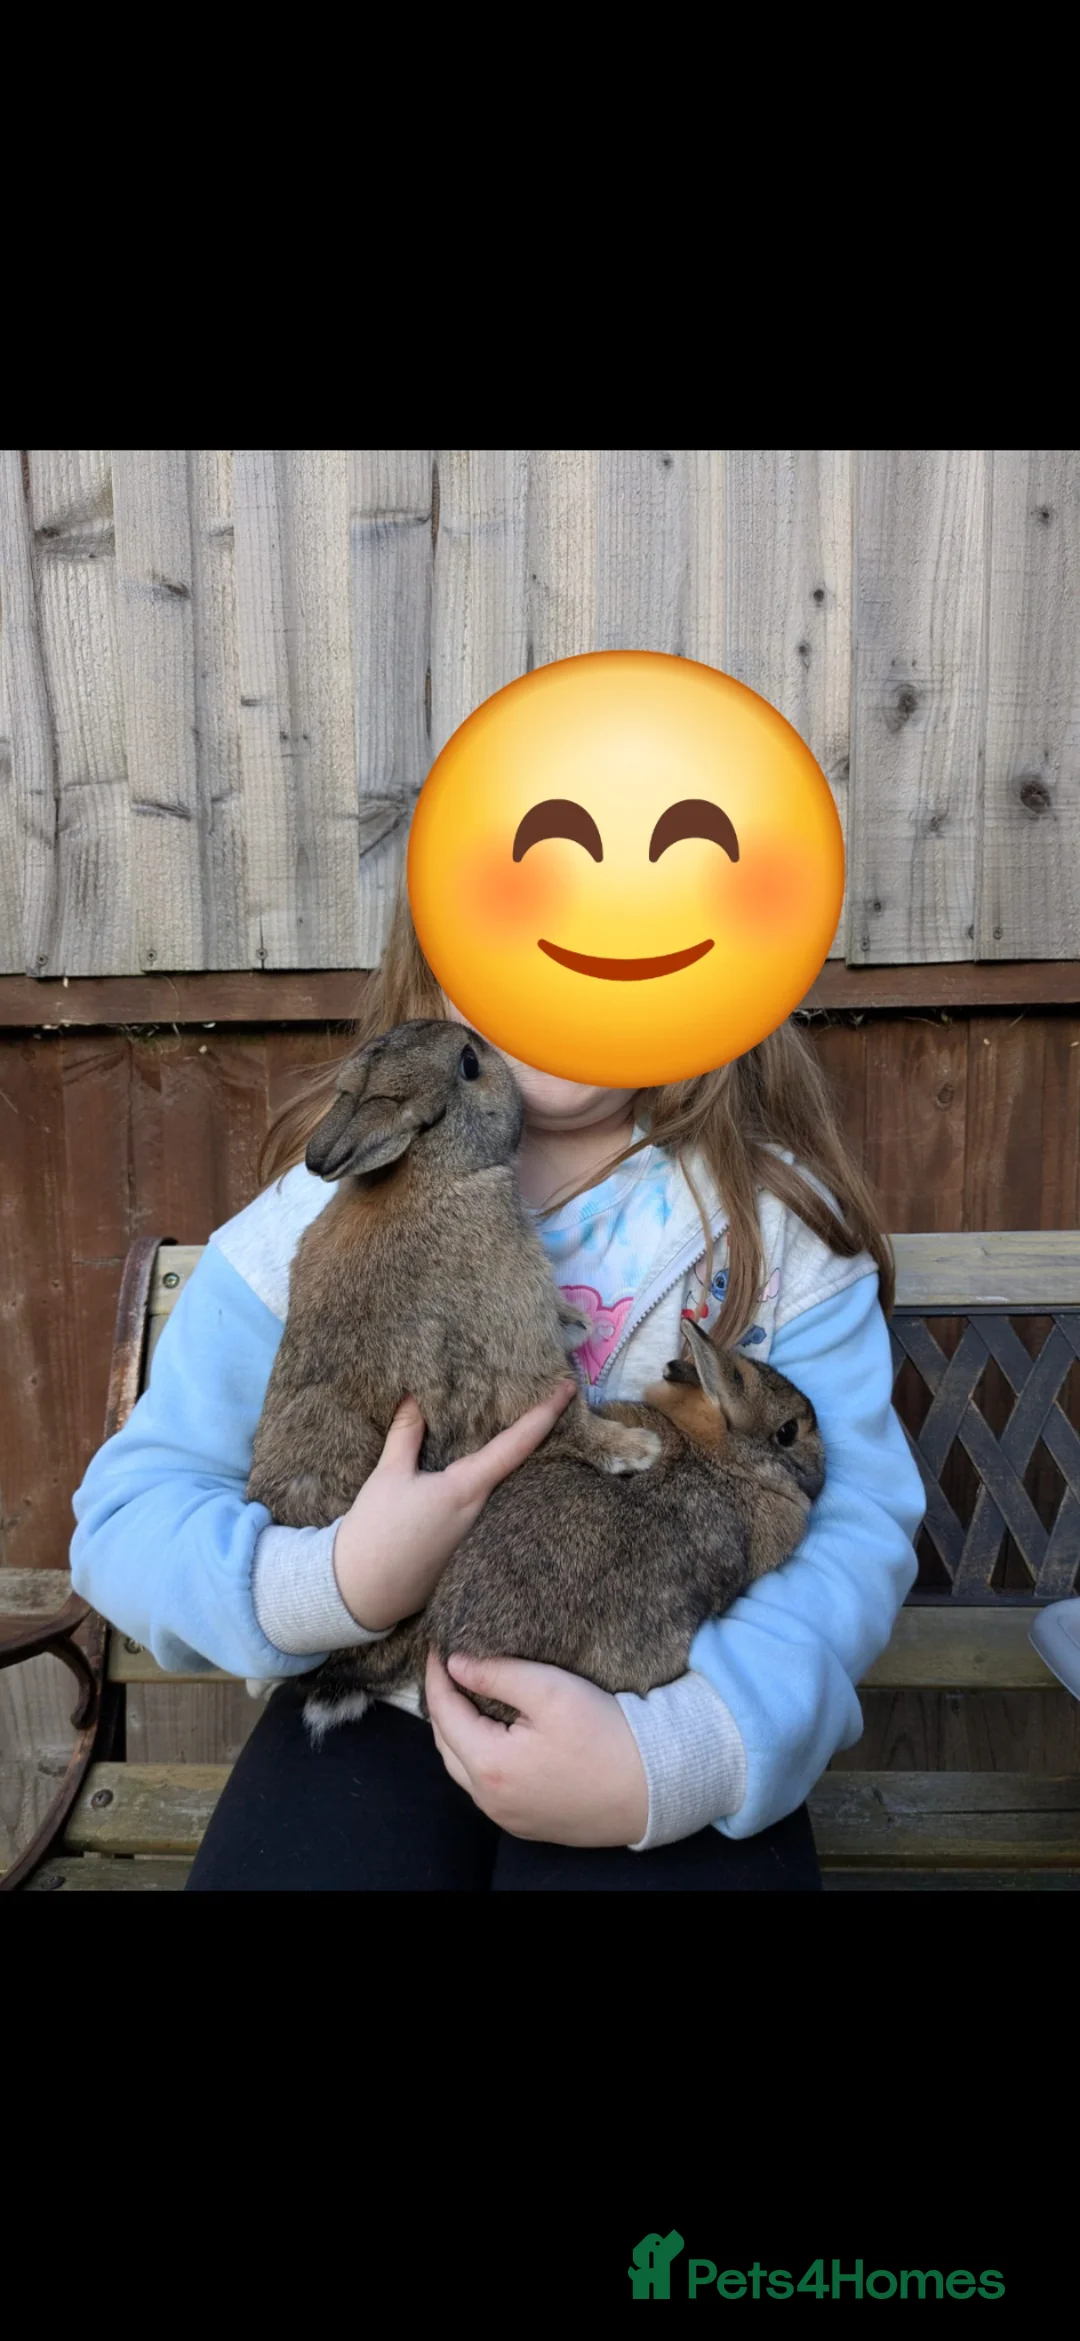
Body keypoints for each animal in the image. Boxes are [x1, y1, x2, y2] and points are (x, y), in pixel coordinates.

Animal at [247, 1014, 662, 1566]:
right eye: (469, 1064)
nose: (491, 1045)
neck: (433, 1168)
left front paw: (578, 1323)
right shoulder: (514, 1336)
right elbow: (565, 1412)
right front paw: (636, 1448)